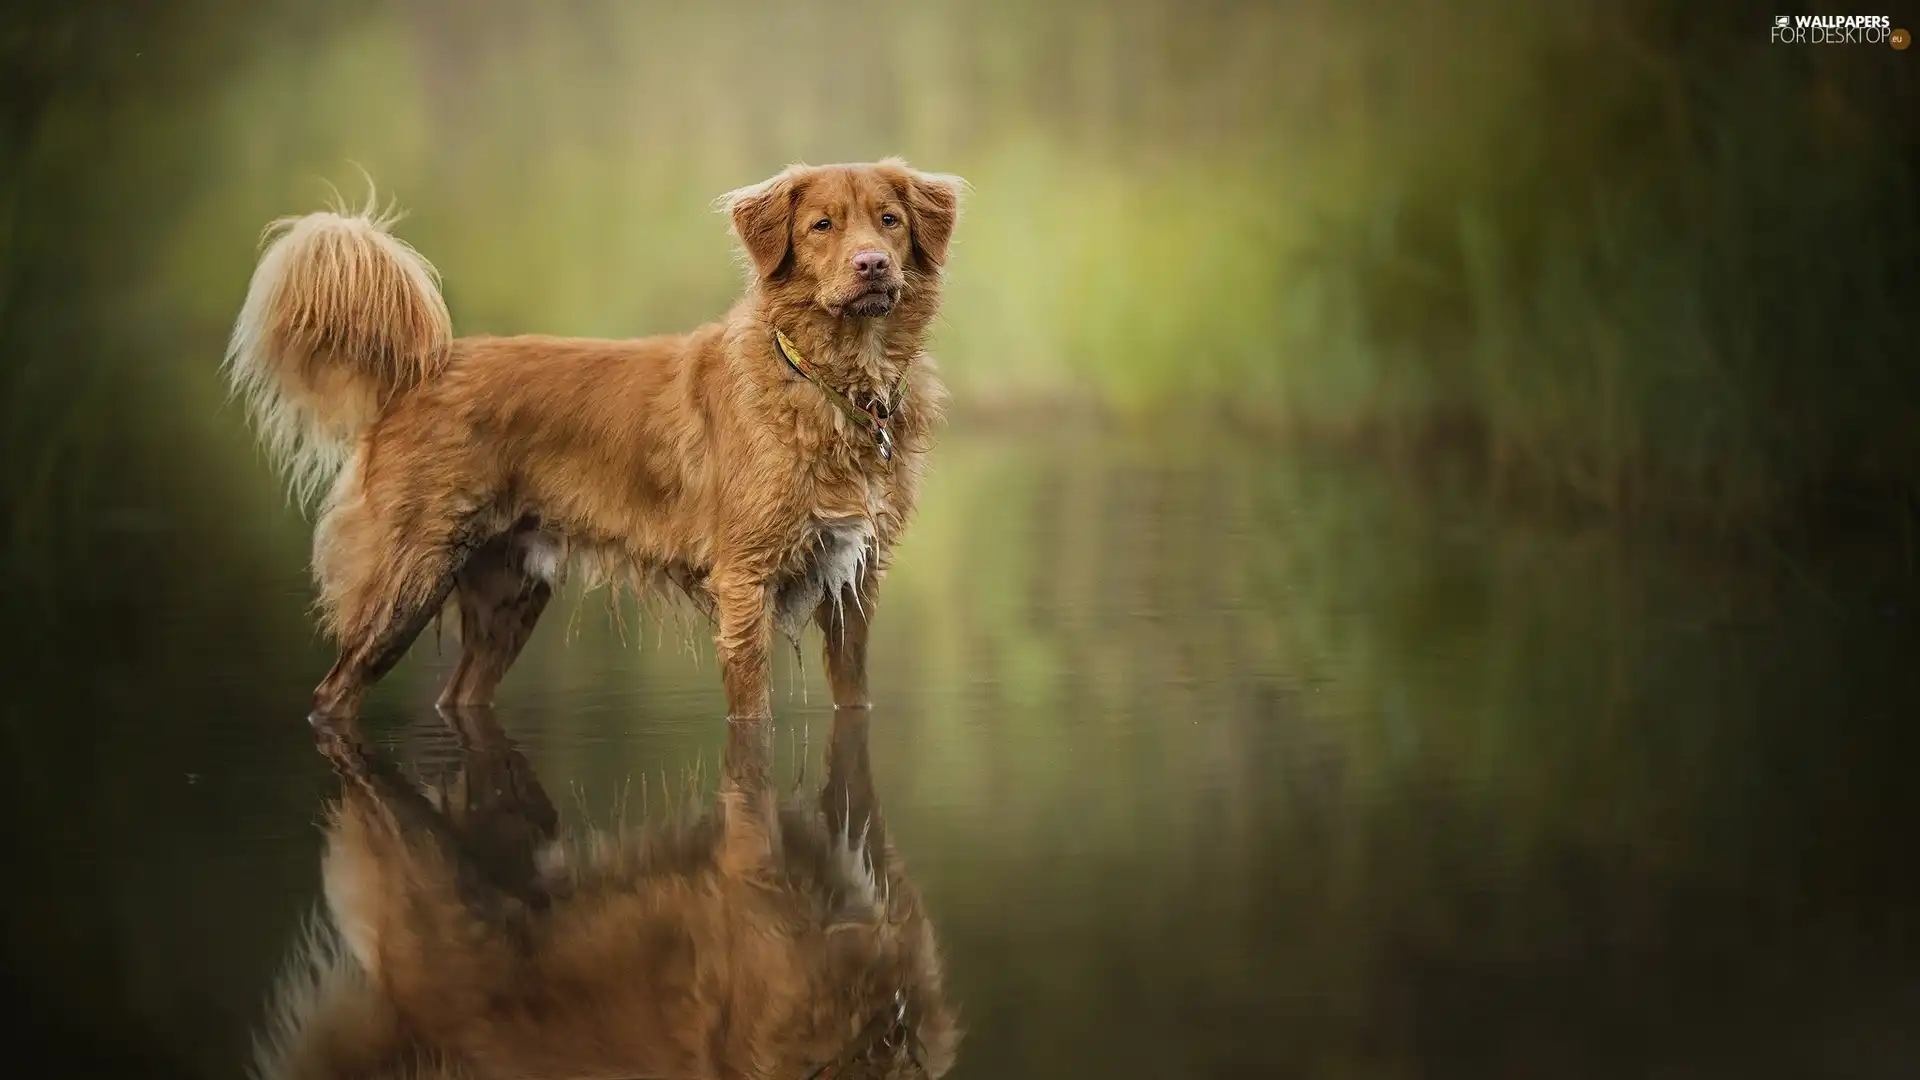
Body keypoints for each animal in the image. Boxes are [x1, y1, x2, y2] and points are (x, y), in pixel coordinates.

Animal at [226, 157, 967, 714]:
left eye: (890, 220)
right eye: (821, 226)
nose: (872, 264)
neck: (833, 384)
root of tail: (420, 372)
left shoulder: (854, 585)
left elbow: (854, 700)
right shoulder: (744, 584)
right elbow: (752, 719)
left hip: (508, 596)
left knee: (456, 697)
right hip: (405, 578)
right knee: (332, 696)